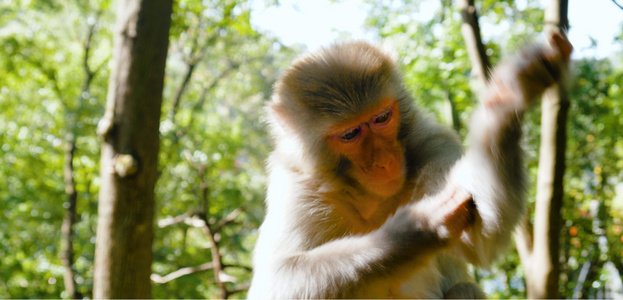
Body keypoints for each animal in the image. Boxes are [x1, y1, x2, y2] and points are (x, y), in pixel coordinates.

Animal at [250, 34, 576, 298]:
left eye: (382, 117)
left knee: (465, 288)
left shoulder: (433, 142)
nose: (384, 161)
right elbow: (278, 280)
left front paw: (509, 96)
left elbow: (480, 240)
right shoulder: (295, 184)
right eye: (350, 134)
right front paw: (419, 227)